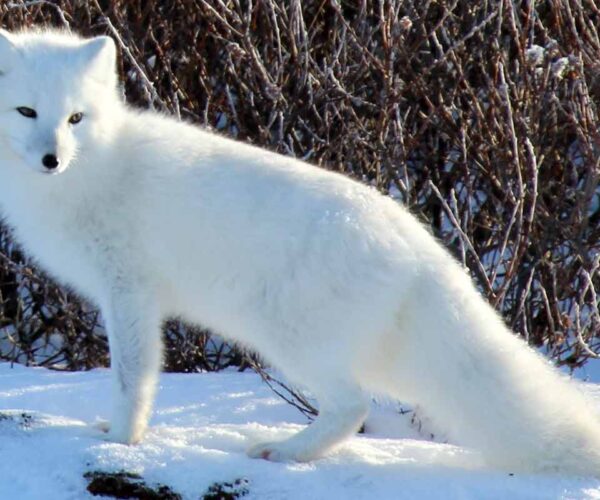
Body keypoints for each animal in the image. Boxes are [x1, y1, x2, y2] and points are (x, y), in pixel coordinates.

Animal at [1, 29, 600, 474]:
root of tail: (420, 243)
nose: (53, 159)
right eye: (26, 111)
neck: (93, 170)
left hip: (287, 338)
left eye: (76, 118)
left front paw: (122, 441)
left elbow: (133, 378)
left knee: (353, 406)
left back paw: (285, 451)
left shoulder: (130, 295)